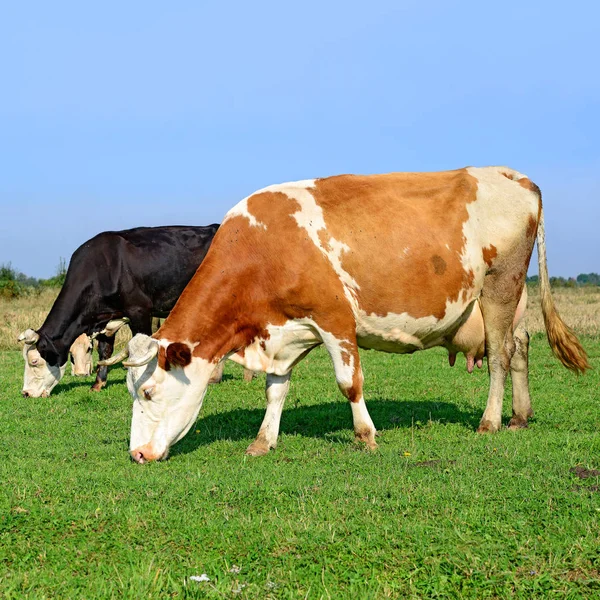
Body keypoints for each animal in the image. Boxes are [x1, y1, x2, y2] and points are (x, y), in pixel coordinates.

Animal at [105, 169, 588, 464]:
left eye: (147, 392)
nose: (137, 454)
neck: (265, 249)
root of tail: (514, 176)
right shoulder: (284, 330)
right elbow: (275, 390)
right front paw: (263, 441)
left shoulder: (333, 317)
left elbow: (348, 382)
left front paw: (366, 435)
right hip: (514, 298)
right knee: (520, 347)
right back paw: (520, 416)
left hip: (500, 286)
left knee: (500, 356)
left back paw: (490, 421)